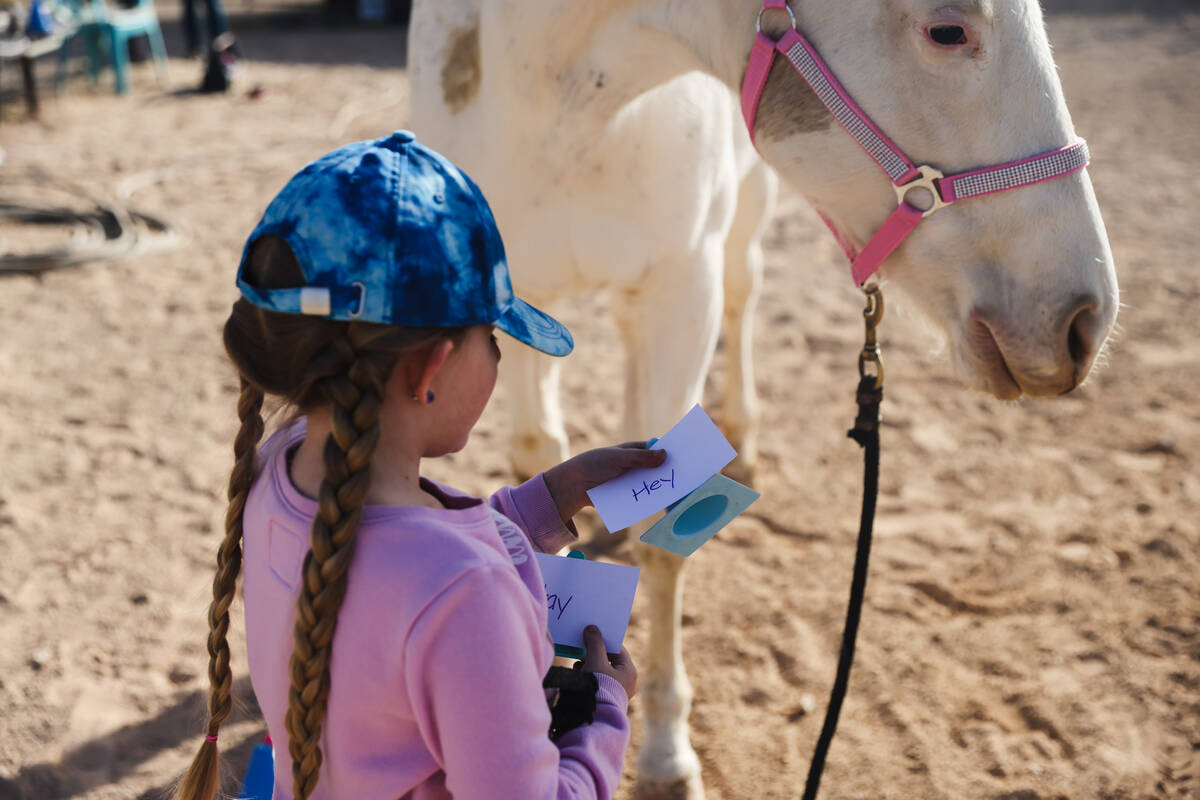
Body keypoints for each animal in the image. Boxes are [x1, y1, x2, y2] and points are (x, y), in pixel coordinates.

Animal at [408, 3, 1118, 796]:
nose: (1084, 319)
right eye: (946, 30)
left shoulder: (685, 287)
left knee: (742, 294)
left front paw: (664, 754)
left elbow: (662, 529)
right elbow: (537, 458)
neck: (562, 104)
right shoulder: (514, 293)